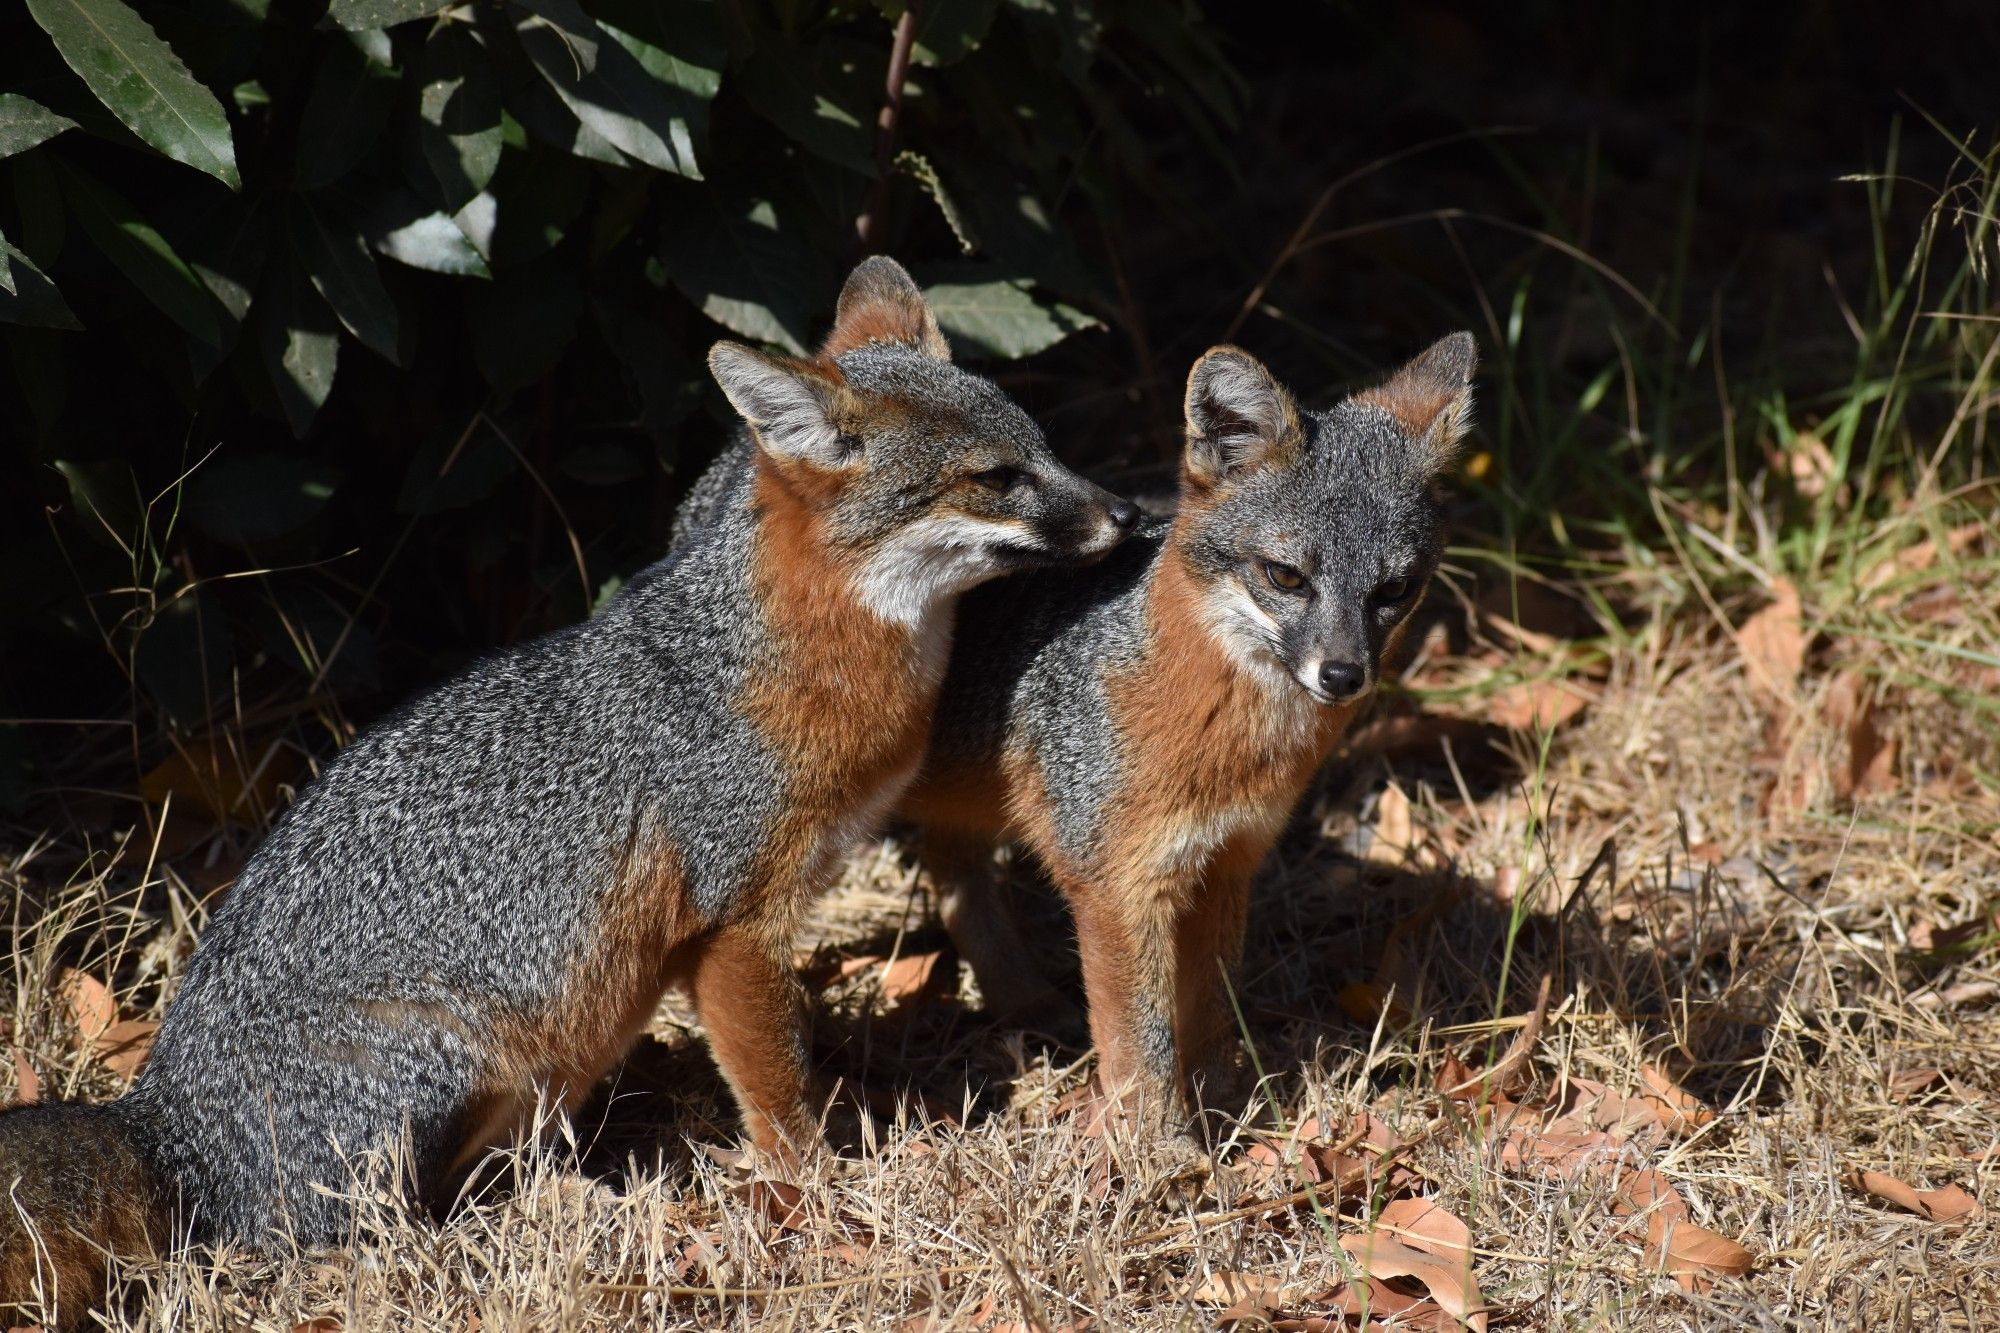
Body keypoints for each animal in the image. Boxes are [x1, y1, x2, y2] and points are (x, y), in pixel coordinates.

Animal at [0, 254, 1144, 1312]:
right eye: (995, 476)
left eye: (1047, 448)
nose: (1128, 515)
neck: (787, 656)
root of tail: (159, 1124)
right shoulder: (734, 926)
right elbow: (778, 1094)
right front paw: (820, 1197)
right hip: (454, 1062)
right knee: (317, 1241)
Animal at [900, 332, 1480, 1120]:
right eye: (1286, 576)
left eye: (1393, 590)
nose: (1342, 675)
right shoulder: (1115, 884)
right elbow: (1140, 1044)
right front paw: (1161, 1141)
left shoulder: (1227, 859)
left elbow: (1210, 1011)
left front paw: (1228, 1108)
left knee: (953, 871)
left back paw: (1021, 998)